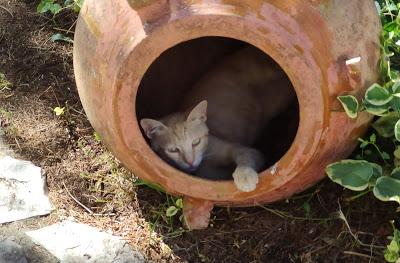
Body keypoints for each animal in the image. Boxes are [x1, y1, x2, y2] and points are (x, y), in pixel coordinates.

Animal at [140, 46, 294, 193]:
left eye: (196, 142)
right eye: (173, 150)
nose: (190, 162)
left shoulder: (248, 151)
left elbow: (244, 155)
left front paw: (244, 176)